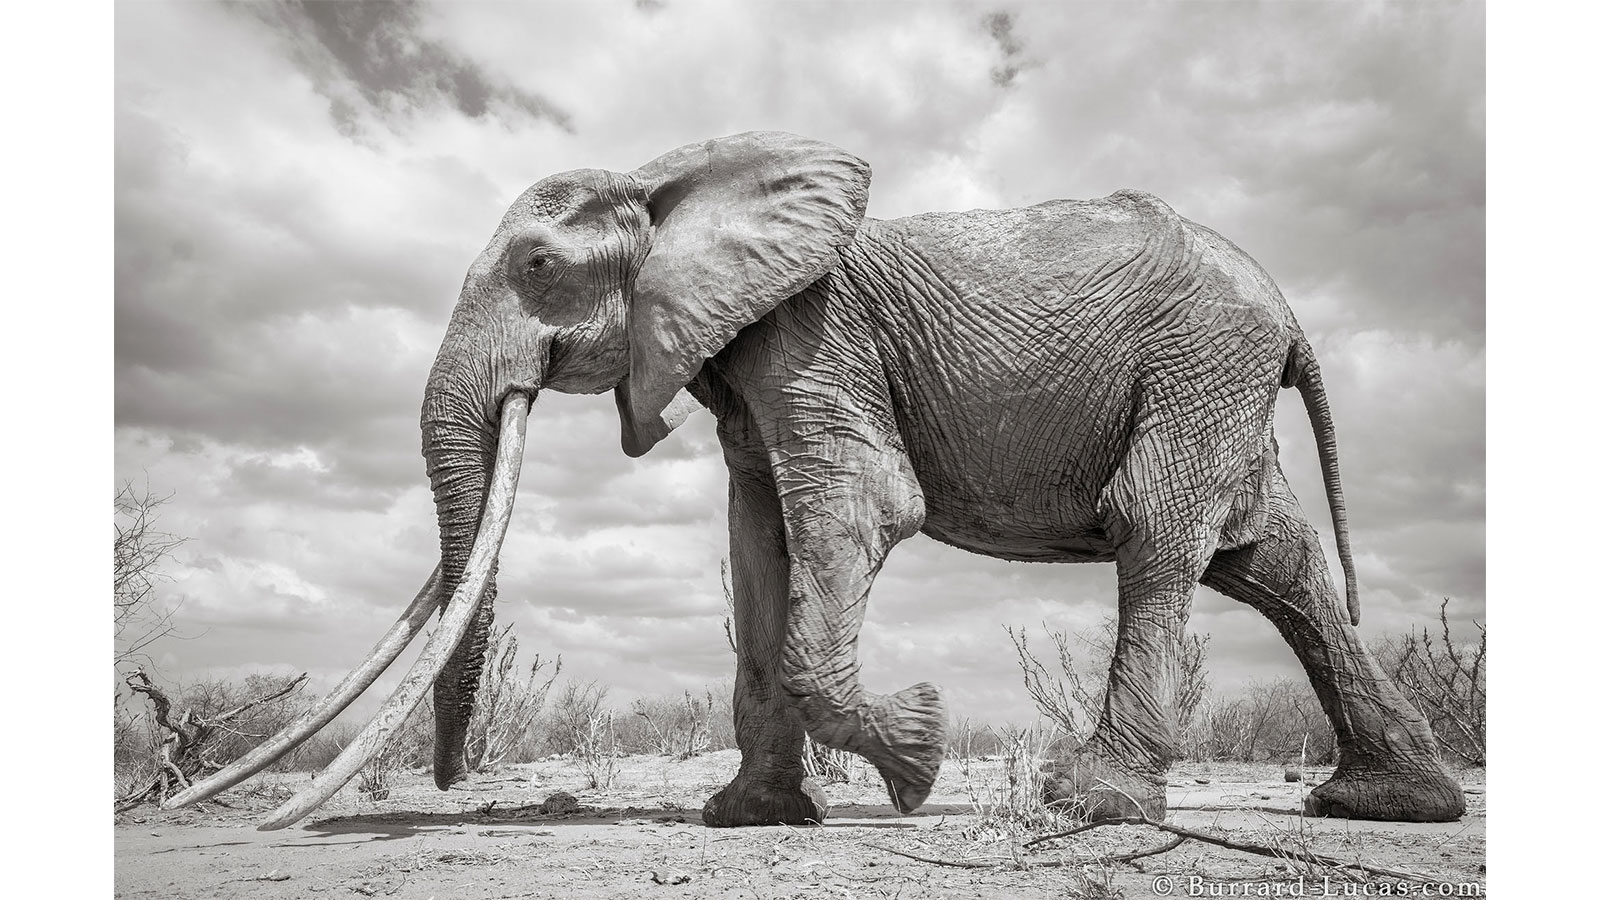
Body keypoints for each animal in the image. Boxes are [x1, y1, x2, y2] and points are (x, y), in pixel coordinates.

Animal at [168, 128, 1465, 826]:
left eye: (535, 266)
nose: (441, 784)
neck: (671, 176)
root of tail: (1290, 313)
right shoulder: (748, 370)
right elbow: (758, 546)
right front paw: (749, 816)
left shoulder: (814, 337)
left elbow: (856, 512)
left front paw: (918, 761)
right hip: (1215, 383)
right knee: (1272, 564)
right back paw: (1389, 805)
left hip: (1201, 365)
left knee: (1159, 534)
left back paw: (1086, 805)